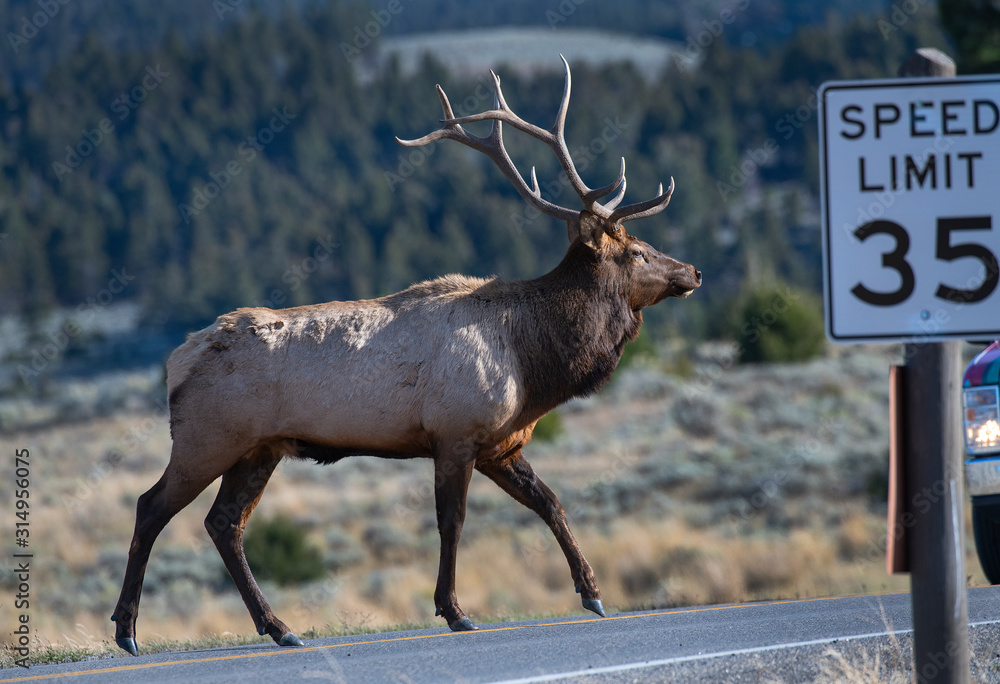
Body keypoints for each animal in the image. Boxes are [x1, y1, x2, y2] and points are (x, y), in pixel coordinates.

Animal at [111, 56, 704, 656]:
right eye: (638, 251)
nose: (693, 271)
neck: (533, 365)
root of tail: (176, 361)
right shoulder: (456, 431)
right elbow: (453, 522)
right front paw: (454, 610)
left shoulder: (500, 444)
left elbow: (551, 503)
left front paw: (592, 592)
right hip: (207, 438)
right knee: (151, 506)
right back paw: (128, 630)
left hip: (259, 448)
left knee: (224, 523)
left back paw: (278, 627)